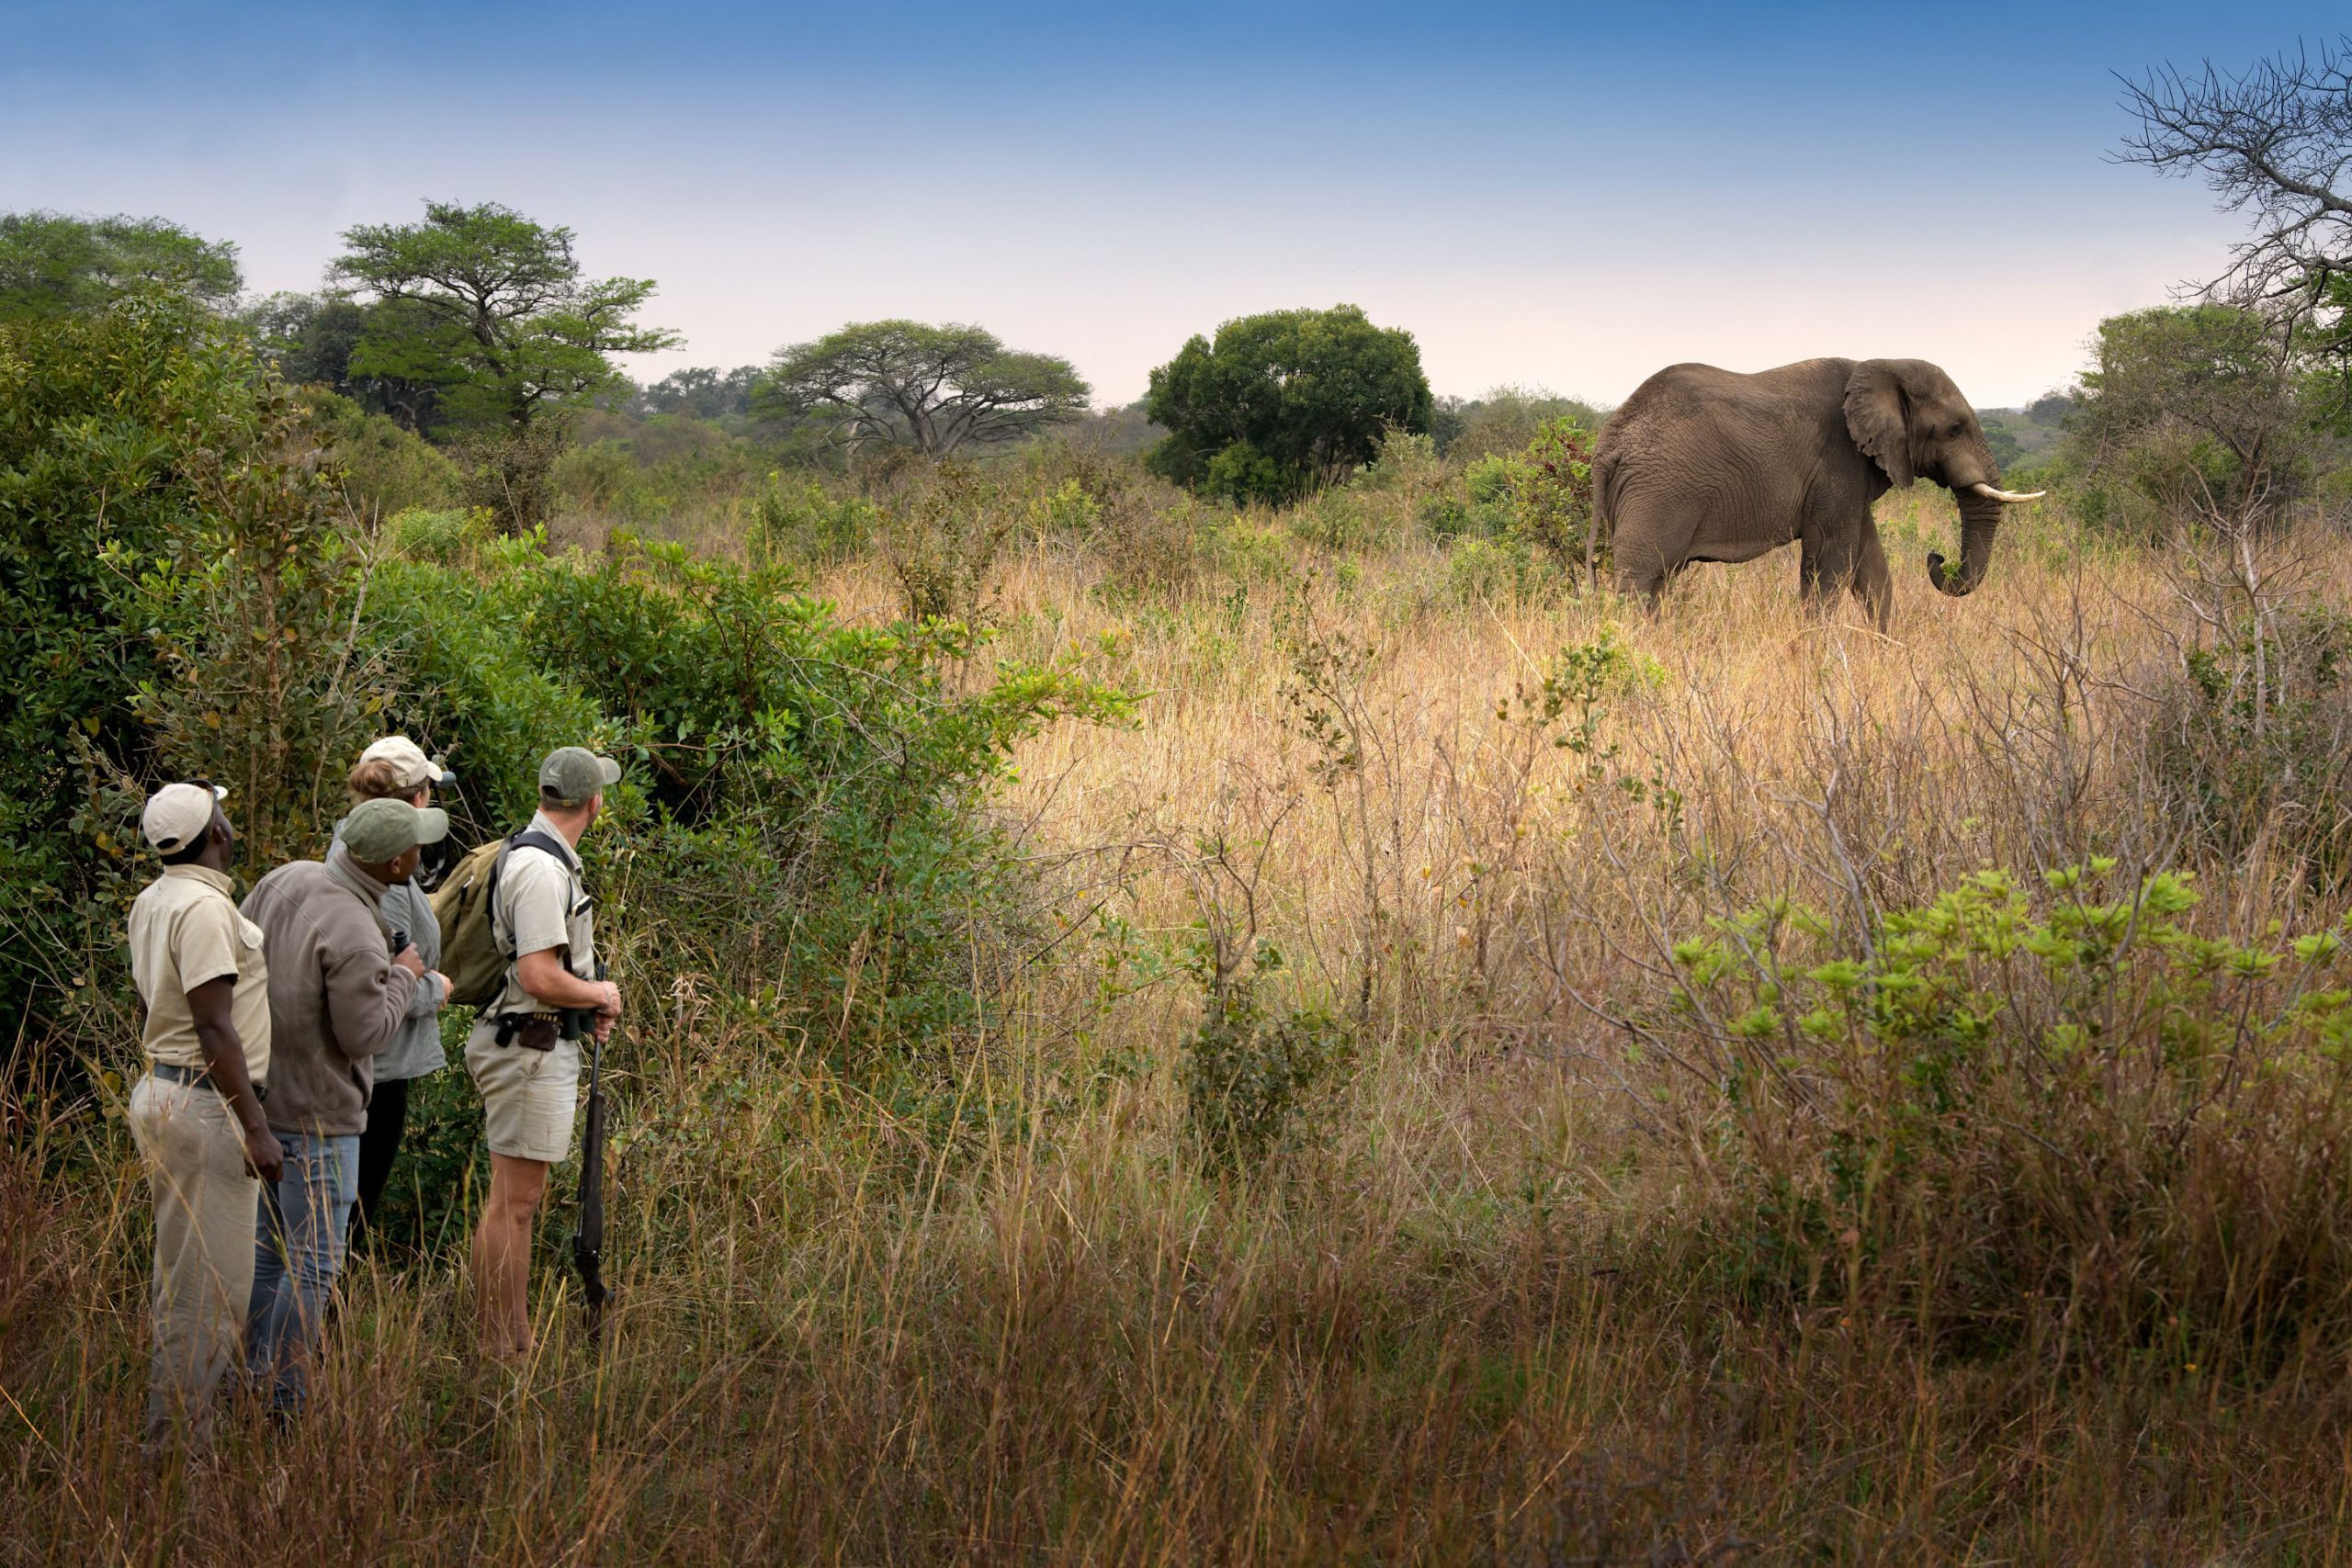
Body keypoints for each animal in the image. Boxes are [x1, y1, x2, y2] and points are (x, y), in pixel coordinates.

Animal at [1589, 359, 2051, 629]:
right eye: (1954, 429)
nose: (1935, 557)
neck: (1880, 367)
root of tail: (1608, 443)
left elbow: (1870, 566)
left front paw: (1888, 651)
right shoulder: (1837, 462)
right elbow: (1832, 562)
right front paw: (1819, 655)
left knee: (1656, 580)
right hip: (1659, 493)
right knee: (1640, 578)